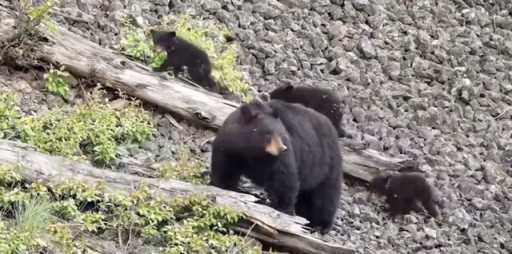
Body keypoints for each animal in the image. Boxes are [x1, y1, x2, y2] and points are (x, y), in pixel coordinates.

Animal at [208, 99, 344, 234]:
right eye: (267, 133)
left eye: (281, 133)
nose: (282, 148)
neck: (252, 151)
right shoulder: (230, 148)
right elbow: (225, 168)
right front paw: (222, 185)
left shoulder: (278, 158)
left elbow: (283, 177)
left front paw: (283, 209)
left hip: (326, 165)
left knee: (325, 196)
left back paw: (320, 226)